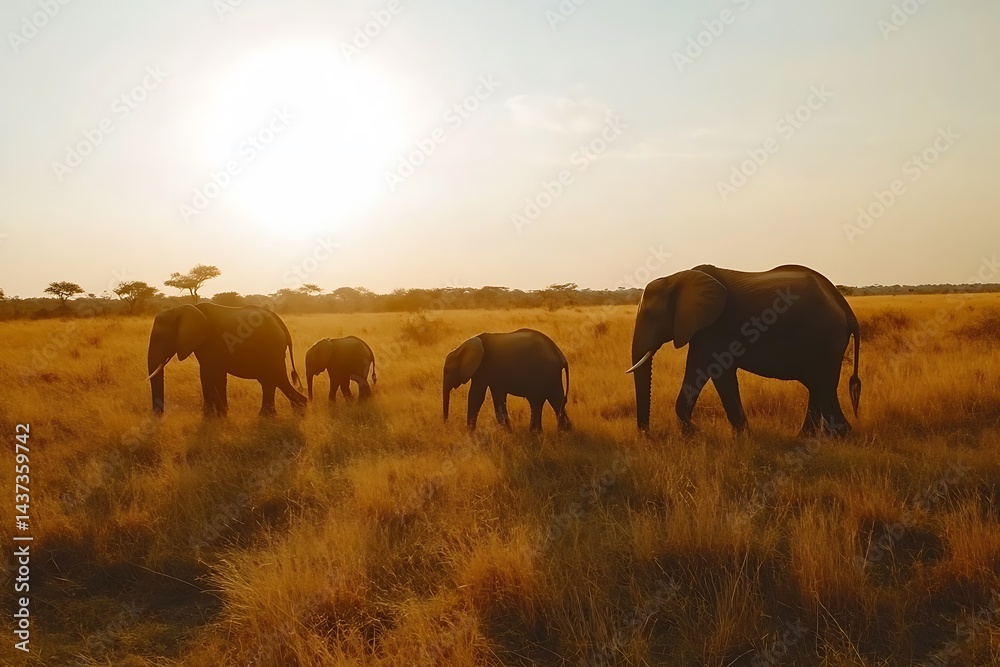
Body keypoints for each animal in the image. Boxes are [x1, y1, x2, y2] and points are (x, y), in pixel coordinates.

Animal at [146, 303, 307, 416]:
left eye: (160, 338)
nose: (159, 416)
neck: (179, 310)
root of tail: (279, 322)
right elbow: (215, 376)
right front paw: (220, 416)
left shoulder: (212, 342)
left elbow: (209, 375)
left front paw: (212, 418)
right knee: (269, 381)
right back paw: (270, 415)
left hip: (272, 349)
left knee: (275, 377)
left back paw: (297, 409)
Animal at [443, 329, 571, 432]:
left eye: (448, 371)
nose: (446, 424)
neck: (461, 347)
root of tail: (561, 356)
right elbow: (498, 398)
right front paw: (508, 431)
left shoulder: (482, 369)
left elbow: (476, 396)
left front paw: (470, 433)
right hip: (552, 375)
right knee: (557, 401)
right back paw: (565, 433)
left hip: (544, 372)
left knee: (537, 401)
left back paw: (536, 433)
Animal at [627, 264, 861, 437]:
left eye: (652, 317)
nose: (647, 434)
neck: (676, 278)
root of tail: (845, 307)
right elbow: (716, 373)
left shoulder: (714, 328)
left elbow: (711, 371)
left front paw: (697, 434)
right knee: (819, 386)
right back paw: (814, 436)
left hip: (824, 338)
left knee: (823, 386)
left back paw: (834, 435)